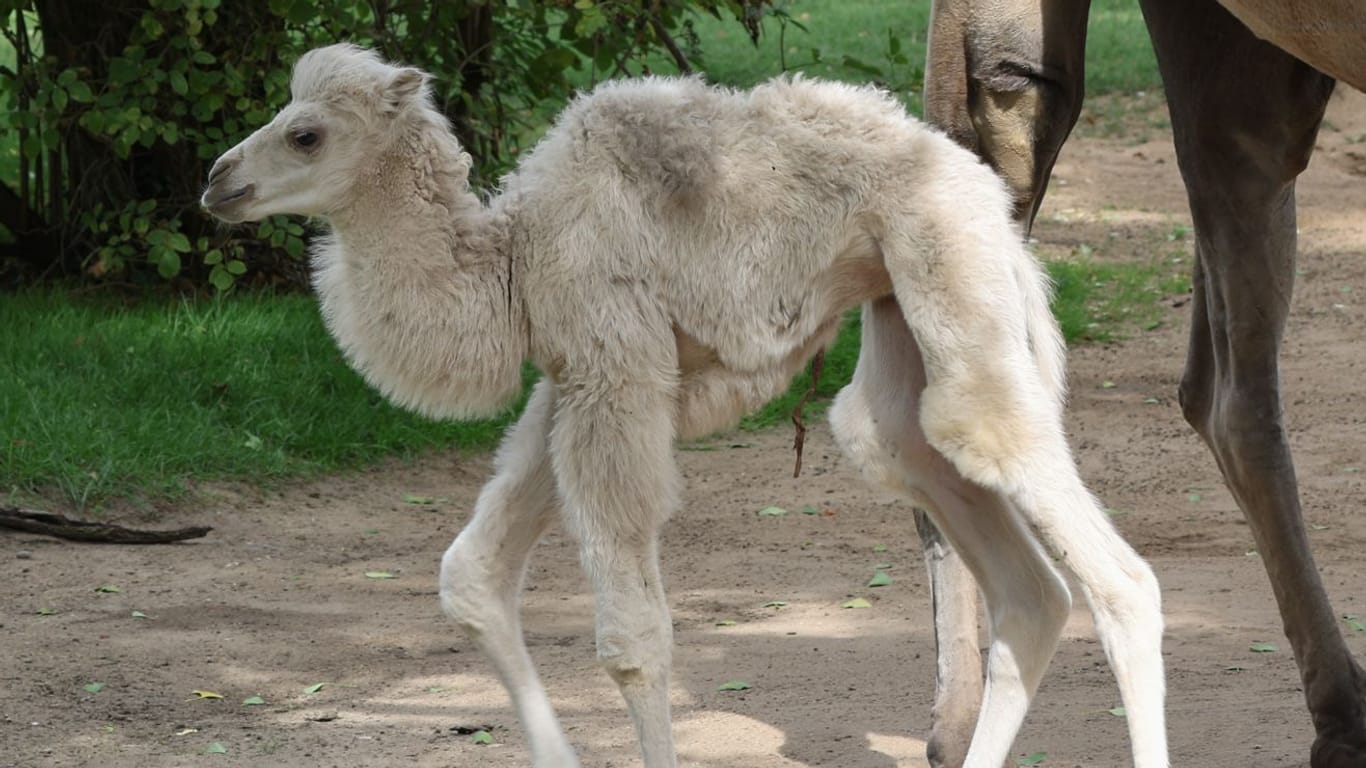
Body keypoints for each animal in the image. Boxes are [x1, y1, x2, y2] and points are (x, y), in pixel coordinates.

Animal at [199, 44, 1163, 759]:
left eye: (307, 134)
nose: (217, 180)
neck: (512, 258)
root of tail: (990, 201)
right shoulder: (574, 380)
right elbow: (471, 574)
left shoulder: (613, 370)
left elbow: (633, 642)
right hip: (901, 322)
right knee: (1007, 566)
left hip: (948, 269)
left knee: (1113, 572)